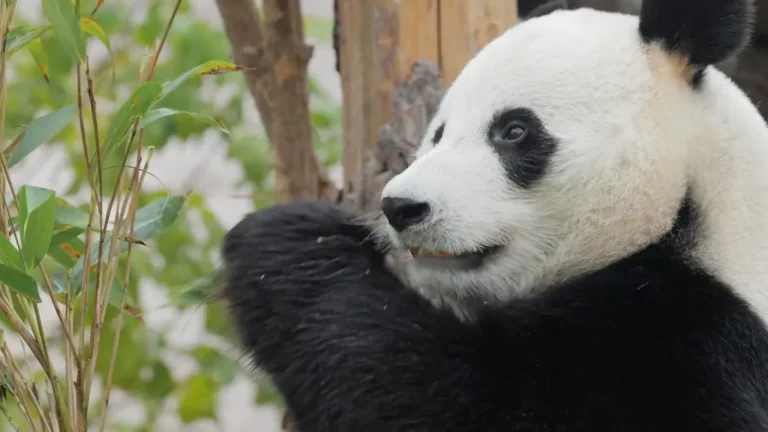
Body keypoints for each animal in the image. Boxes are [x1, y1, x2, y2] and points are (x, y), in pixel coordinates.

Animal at [221, 0, 768, 430]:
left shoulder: (697, 342)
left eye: (515, 131)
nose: (401, 207)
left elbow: (451, 398)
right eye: (438, 132)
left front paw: (286, 241)